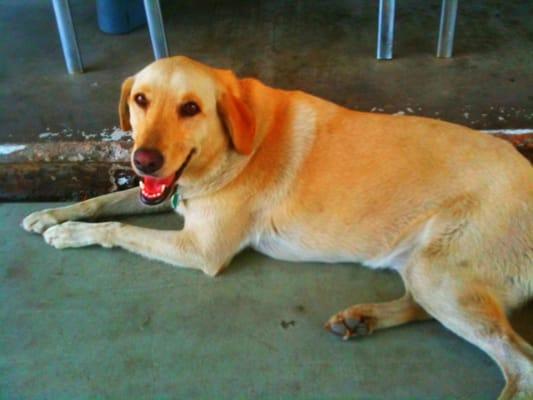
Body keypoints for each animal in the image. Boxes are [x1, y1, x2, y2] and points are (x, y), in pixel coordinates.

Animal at [22, 56, 528, 400]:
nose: (143, 159)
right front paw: (52, 215)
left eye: (190, 108)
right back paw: (361, 318)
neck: (233, 143)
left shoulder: (202, 248)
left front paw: (71, 234)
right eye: (140, 100)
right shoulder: (165, 194)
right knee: (424, 306)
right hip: (425, 269)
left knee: (521, 365)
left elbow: (118, 229)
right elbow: (104, 200)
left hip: (439, 273)